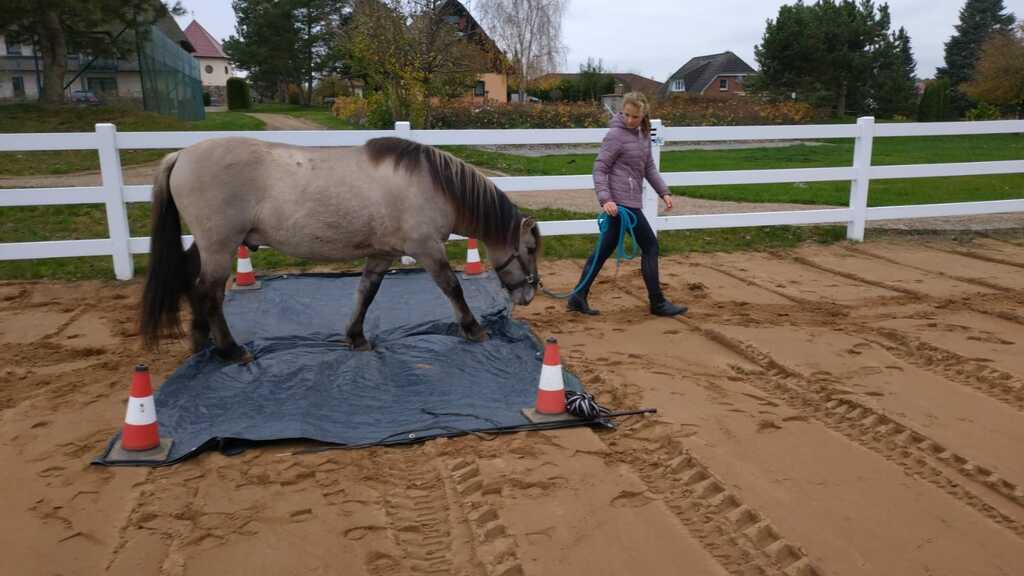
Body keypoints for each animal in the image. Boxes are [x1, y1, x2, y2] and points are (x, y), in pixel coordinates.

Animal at [140, 136, 542, 363]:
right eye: (530, 248)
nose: (529, 294)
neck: (431, 184)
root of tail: (181, 155)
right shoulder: (426, 248)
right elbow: (453, 288)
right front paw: (473, 329)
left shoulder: (382, 253)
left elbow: (366, 293)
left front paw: (356, 337)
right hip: (221, 246)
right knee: (210, 293)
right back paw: (230, 350)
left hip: (208, 245)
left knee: (192, 283)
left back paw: (201, 340)